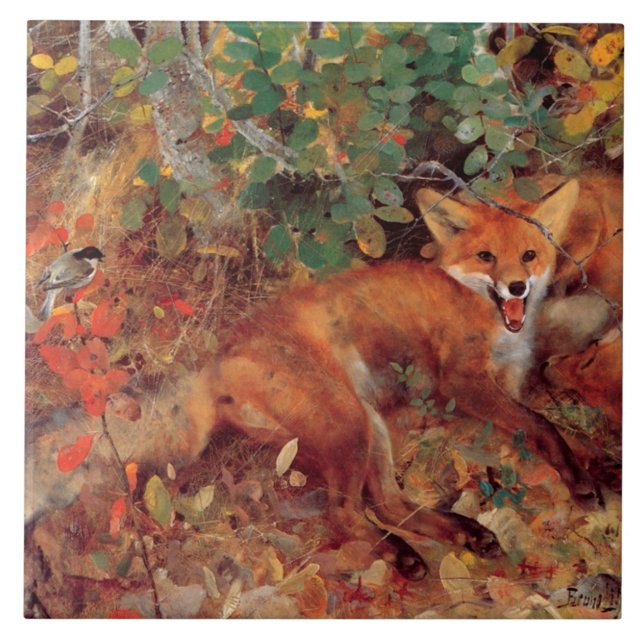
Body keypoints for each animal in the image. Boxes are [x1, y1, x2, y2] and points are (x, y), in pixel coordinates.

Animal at [182, 178, 600, 568]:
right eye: (486, 256)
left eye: (529, 255)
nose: (516, 287)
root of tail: (217, 361)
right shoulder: (462, 382)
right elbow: (543, 424)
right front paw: (580, 481)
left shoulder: (508, 383)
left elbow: (524, 436)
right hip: (350, 424)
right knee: (344, 512)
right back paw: (402, 556)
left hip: (369, 426)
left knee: (388, 503)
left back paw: (464, 534)